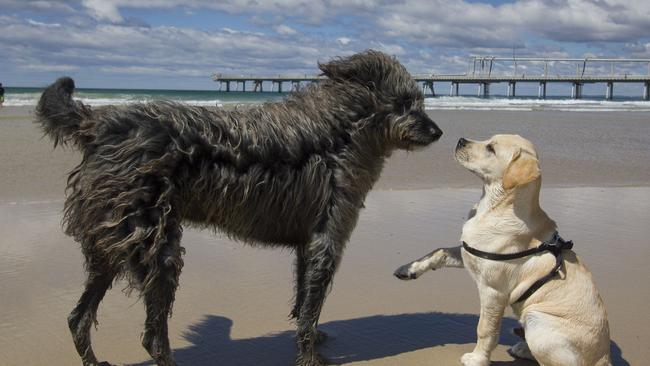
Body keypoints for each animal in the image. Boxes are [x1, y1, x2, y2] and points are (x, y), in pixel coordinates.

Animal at [35, 49, 440, 366]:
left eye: (420, 100)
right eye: (404, 102)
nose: (437, 133)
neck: (340, 132)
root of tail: (100, 124)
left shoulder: (307, 244)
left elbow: (305, 304)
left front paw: (314, 337)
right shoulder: (326, 240)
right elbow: (310, 308)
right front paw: (310, 356)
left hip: (112, 242)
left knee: (78, 318)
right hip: (154, 245)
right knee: (151, 336)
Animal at [392, 134, 612, 366]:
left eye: (491, 148)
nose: (460, 140)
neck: (493, 207)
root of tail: (605, 358)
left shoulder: (493, 292)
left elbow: (485, 329)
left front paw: (477, 359)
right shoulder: (469, 252)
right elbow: (439, 251)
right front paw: (409, 269)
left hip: (537, 319)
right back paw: (523, 348)